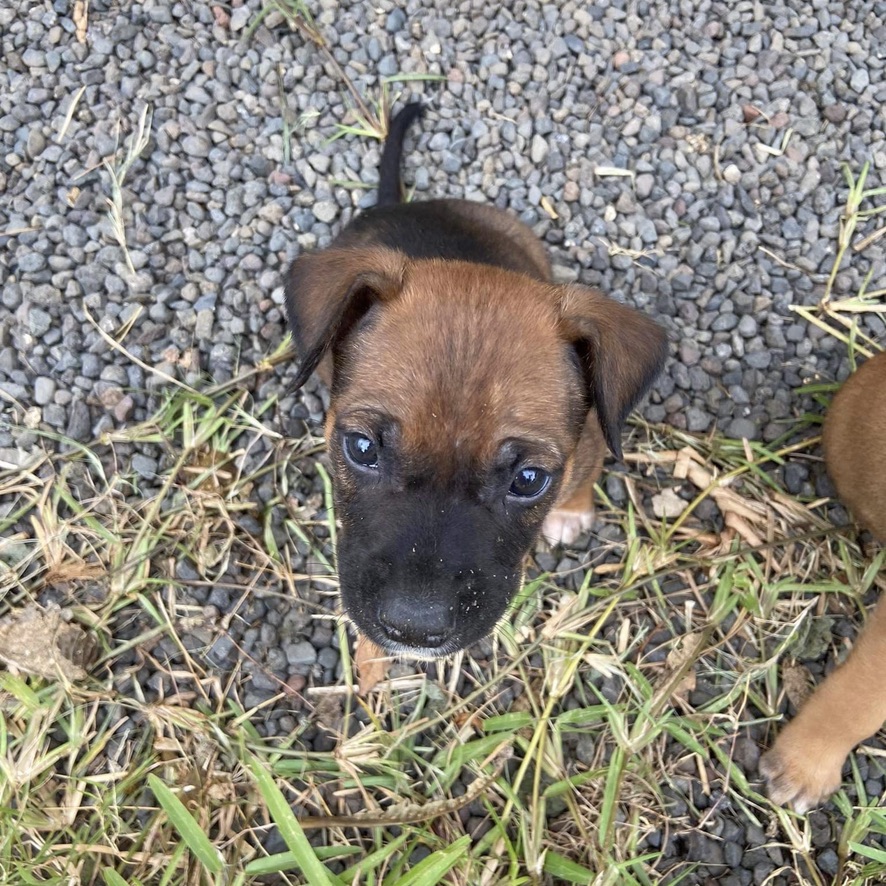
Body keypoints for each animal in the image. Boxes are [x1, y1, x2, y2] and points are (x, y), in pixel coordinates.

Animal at [284, 106, 664, 660]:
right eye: (360, 448)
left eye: (529, 480)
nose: (413, 629)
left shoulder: (592, 443)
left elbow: (582, 481)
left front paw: (569, 512)